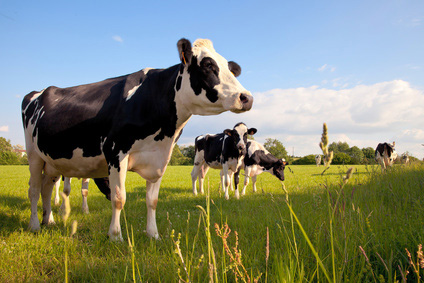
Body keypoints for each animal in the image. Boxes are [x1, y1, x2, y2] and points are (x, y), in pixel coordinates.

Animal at [21, 38, 253, 242]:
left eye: (230, 68)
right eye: (207, 65)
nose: (247, 97)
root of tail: (38, 92)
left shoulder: (160, 159)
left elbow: (152, 201)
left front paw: (154, 234)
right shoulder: (115, 153)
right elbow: (119, 198)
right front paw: (115, 236)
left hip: (52, 161)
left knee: (46, 187)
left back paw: (49, 220)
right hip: (33, 155)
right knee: (34, 189)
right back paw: (34, 225)